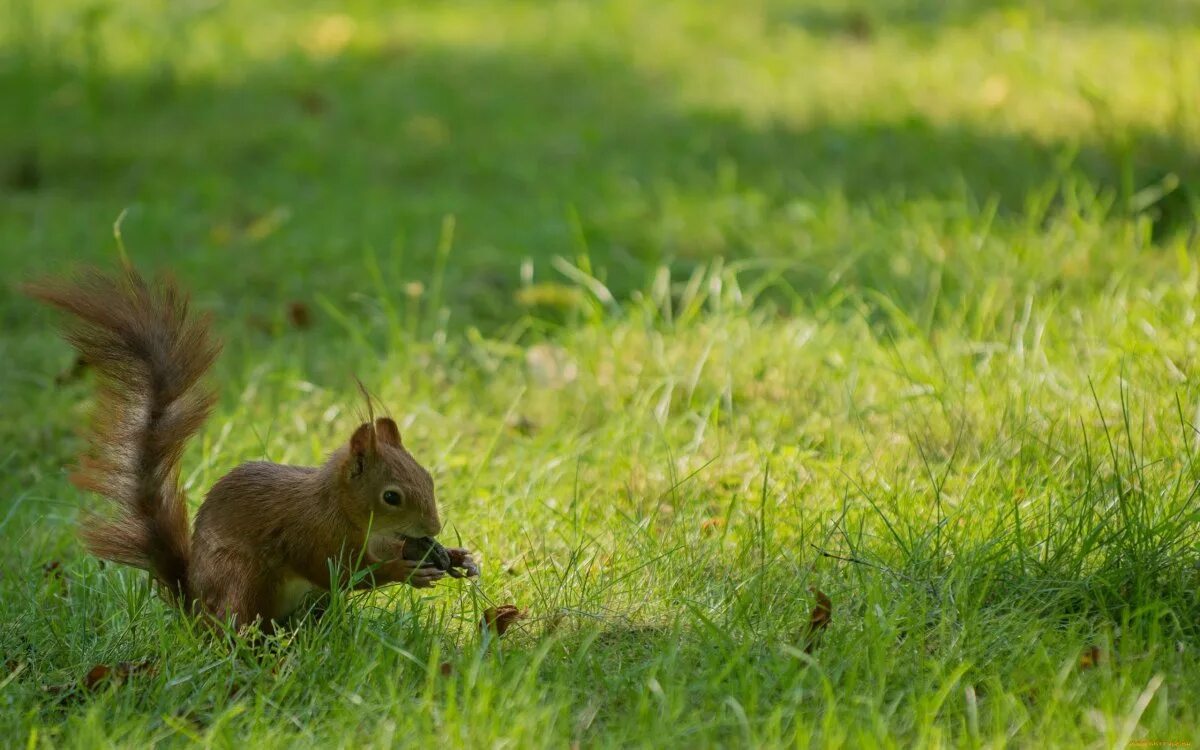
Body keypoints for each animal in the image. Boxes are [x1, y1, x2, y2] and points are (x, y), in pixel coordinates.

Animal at [28, 266, 477, 628]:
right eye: (391, 497)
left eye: (428, 478)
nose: (433, 528)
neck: (341, 507)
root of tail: (196, 607)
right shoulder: (311, 533)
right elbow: (340, 572)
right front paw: (408, 571)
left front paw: (455, 555)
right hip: (243, 578)